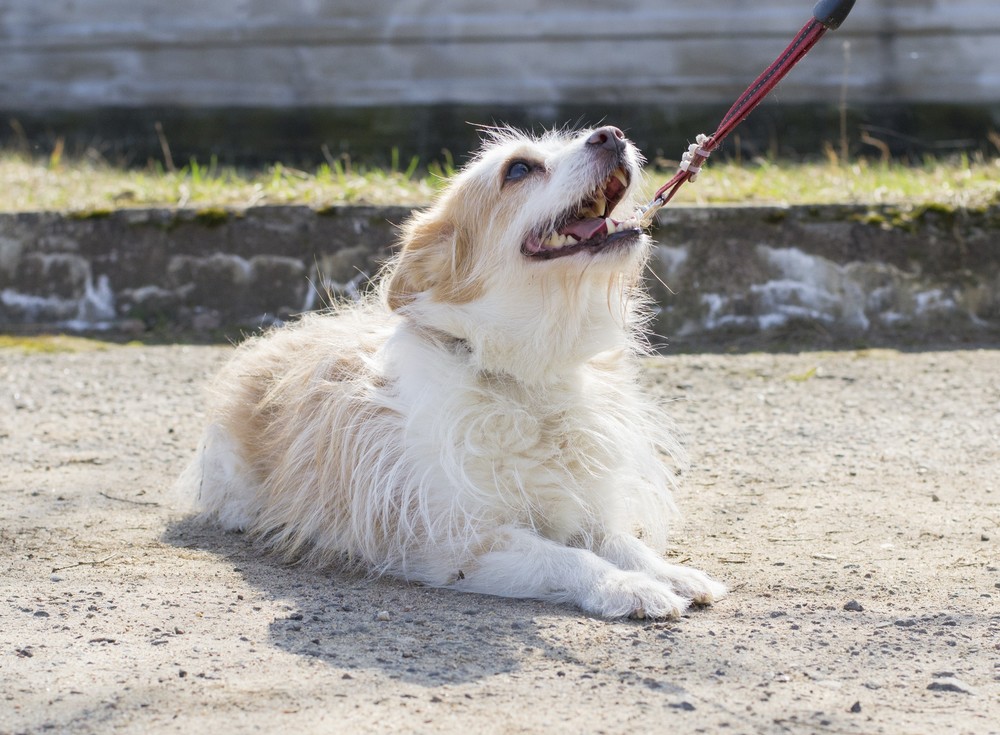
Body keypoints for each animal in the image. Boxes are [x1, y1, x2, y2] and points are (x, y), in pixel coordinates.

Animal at [182, 126, 728, 620]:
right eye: (519, 169)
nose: (611, 135)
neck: (530, 376)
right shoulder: (457, 543)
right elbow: (565, 558)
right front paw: (626, 587)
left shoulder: (583, 510)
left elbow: (619, 542)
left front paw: (670, 572)